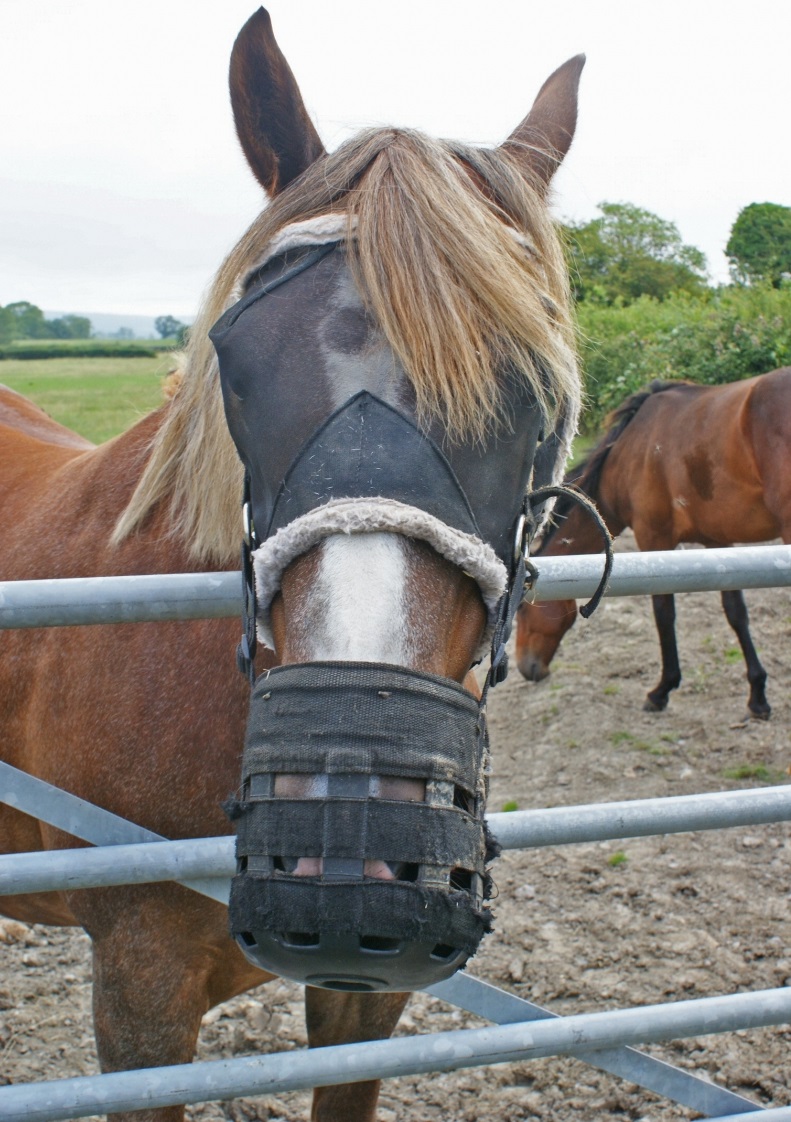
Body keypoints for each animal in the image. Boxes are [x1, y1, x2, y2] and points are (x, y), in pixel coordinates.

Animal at [516, 369, 791, 718]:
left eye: (522, 610)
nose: (527, 668)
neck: (630, 454)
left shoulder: (654, 538)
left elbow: (663, 612)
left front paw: (662, 690)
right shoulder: (718, 543)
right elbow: (736, 613)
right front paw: (757, 694)